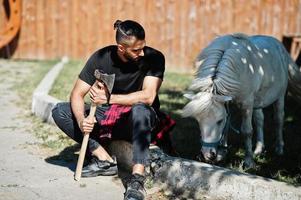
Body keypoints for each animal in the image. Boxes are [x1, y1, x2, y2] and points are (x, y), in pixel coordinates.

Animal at [182, 33, 300, 168]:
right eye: (198, 121)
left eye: (219, 121)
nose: (207, 154)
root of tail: (281, 47)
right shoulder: (229, 102)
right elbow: (227, 128)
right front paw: (222, 154)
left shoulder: (247, 104)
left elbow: (247, 131)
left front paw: (249, 161)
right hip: (258, 101)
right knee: (259, 120)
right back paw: (258, 149)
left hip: (279, 96)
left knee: (279, 119)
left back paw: (279, 149)